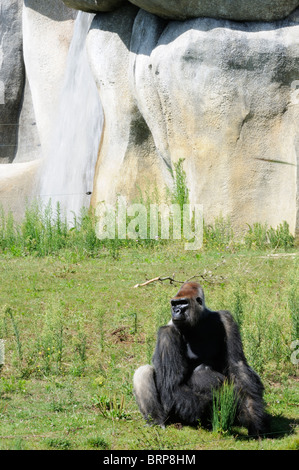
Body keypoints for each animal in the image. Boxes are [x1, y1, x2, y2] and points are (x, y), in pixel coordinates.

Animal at [134, 280, 268, 436]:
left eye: (183, 303)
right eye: (174, 304)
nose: (176, 311)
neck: (198, 321)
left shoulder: (226, 319)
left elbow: (237, 365)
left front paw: (253, 413)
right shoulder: (167, 332)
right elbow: (173, 384)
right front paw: (216, 403)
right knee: (143, 372)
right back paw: (156, 420)